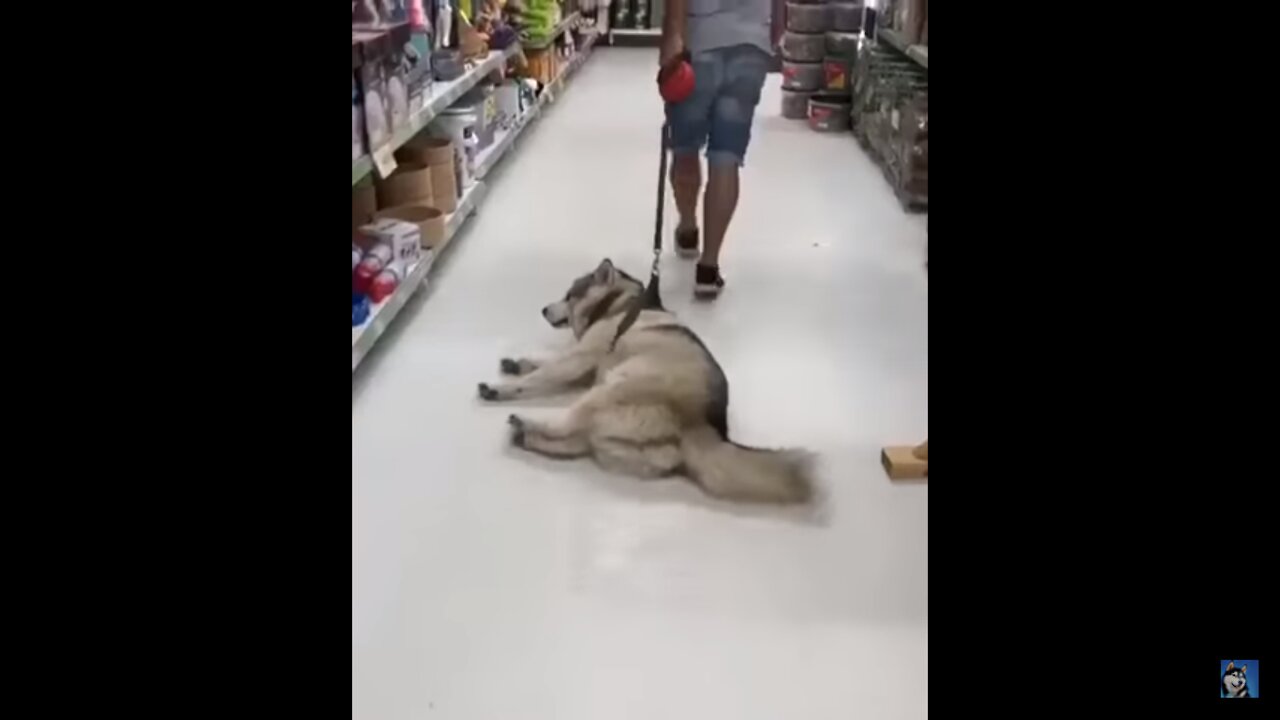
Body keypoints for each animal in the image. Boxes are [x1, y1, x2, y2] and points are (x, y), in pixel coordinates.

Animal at [476, 258, 814, 504]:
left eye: (569, 295)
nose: (544, 308)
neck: (621, 302)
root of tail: (700, 424)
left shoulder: (581, 359)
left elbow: (544, 372)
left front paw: (504, 386)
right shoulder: (582, 364)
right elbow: (544, 363)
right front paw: (519, 363)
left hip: (608, 389)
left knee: (566, 427)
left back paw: (526, 421)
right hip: (610, 432)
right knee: (572, 442)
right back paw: (526, 435)